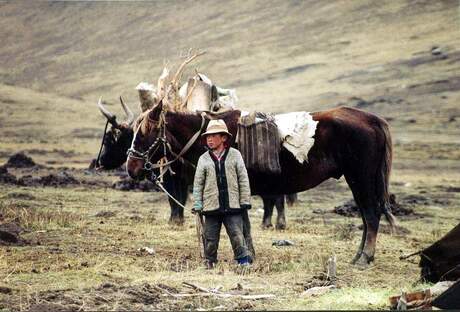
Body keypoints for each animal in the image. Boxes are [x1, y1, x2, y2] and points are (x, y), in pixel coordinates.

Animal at [126, 103, 396, 266]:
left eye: (144, 134)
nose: (131, 167)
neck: (214, 135)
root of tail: (372, 120)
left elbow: (241, 222)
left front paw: (247, 255)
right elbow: (244, 223)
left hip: (360, 177)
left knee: (371, 215)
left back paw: (365, 258)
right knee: (366, 217)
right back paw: (359, 256)